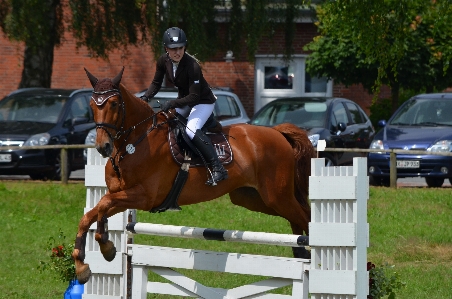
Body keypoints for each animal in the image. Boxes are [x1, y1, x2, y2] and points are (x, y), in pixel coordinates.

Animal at [72, 67, 316, 284]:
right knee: (295, 217)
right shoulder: (122, 196)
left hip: (277, 195)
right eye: (92, 105)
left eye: (114, 103)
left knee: (305, 215)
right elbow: (92, 214)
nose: (103, 146)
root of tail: (277, 132)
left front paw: (106, 247)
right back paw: (301, 252)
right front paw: (84, 265)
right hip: (254, 199)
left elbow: (103, 204)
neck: (135, 142)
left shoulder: (143, 197)